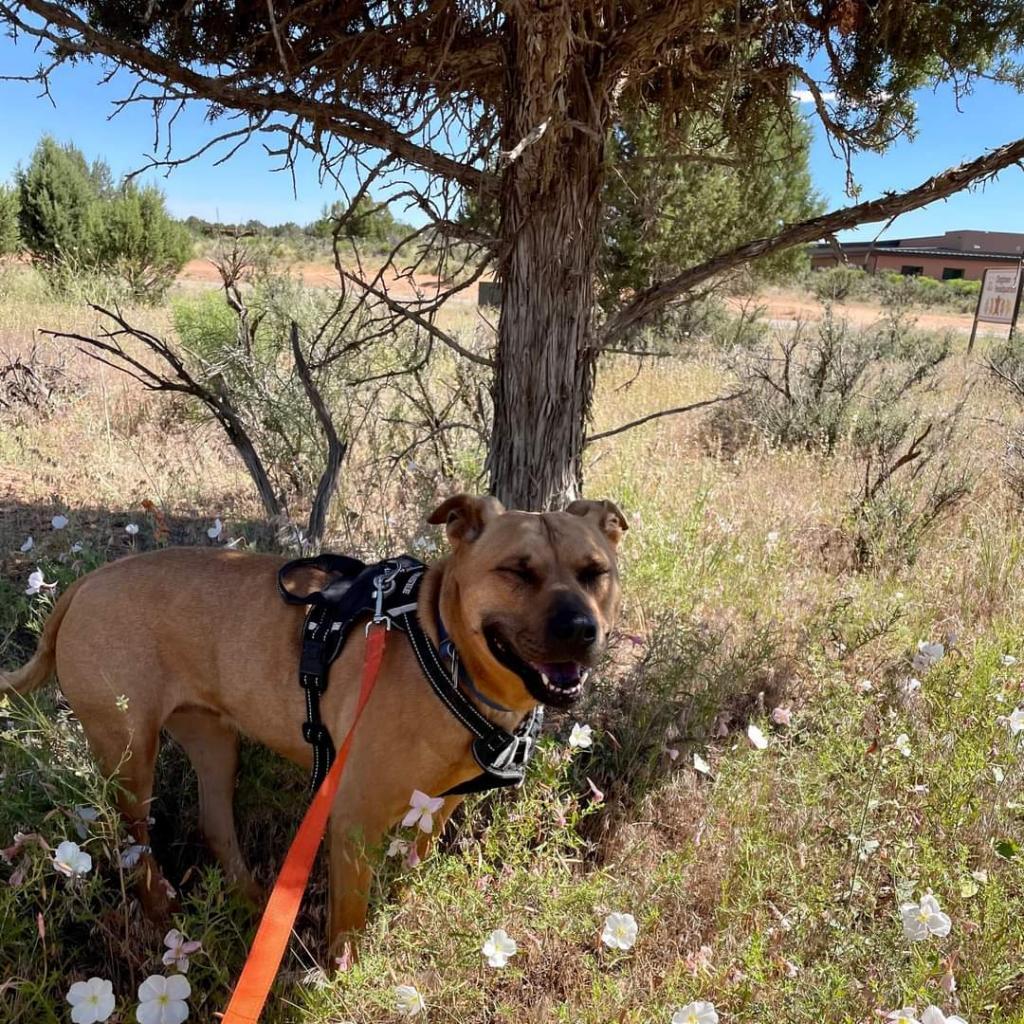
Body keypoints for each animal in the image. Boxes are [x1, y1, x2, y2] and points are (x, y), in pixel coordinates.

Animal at [2, 495, 622, 950]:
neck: (445, 652)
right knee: (133, 845)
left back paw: (253, 903)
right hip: (128, 755)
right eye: (517, 571)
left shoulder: (436, 808)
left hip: (213, 741)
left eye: (596, 573)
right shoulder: (353, 820)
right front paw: (344, 975)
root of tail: (87, 582)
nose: (580, 630)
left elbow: (412, 871)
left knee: (214, 824)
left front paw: (403, 916)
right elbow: (348, 920)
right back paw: (164, 912)